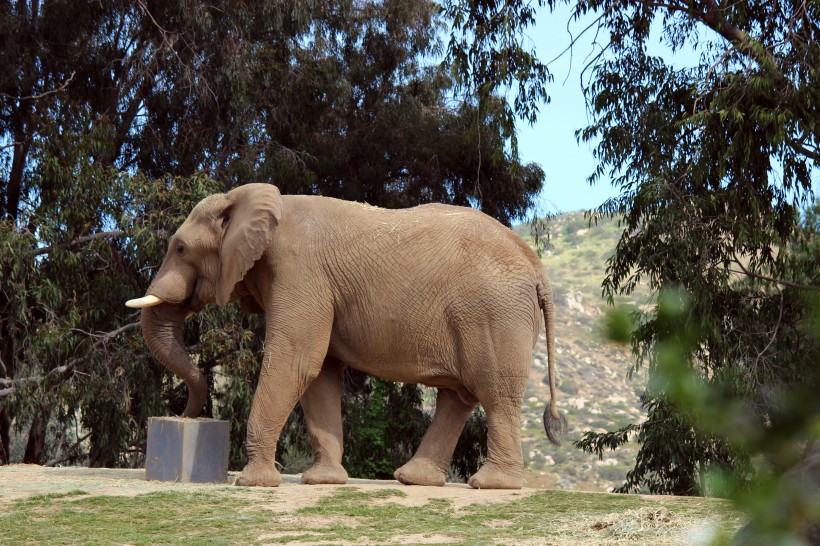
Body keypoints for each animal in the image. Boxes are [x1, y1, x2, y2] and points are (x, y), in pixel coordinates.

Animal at [126, 183, 564, 488]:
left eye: (180, 249)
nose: (184, 415)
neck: (254, 200)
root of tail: (536, 266)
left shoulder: (299, 272)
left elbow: (296, 361)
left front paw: (253, 484)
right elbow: (319, 374)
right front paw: (322, 482)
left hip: (495, 314)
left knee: (494, 393)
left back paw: (491, 486)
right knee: (458, 397)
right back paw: (413, 479)